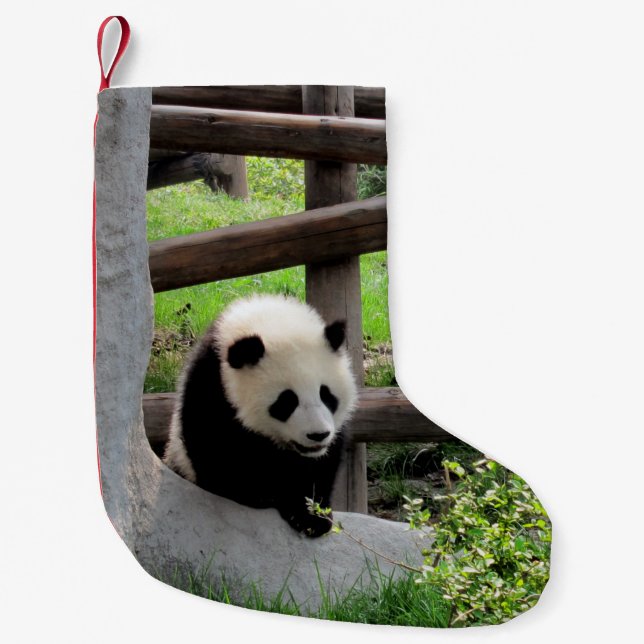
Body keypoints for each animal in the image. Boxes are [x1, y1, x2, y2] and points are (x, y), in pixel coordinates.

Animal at [163, 294, 358, 537]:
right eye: (286, 401)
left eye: (326, 394)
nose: (318, 435)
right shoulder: (212, 385)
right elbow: (217, 451)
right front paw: (261, 495)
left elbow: (321, 465)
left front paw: (312, 517)